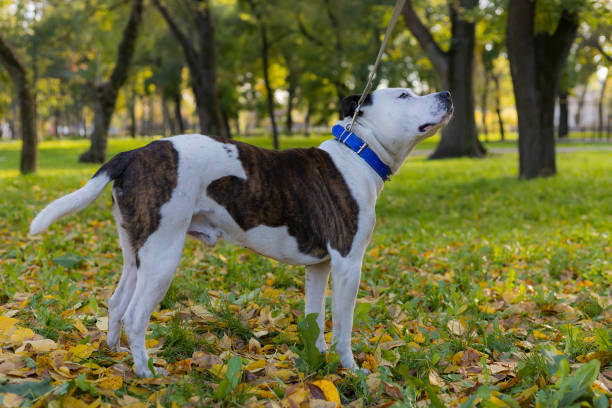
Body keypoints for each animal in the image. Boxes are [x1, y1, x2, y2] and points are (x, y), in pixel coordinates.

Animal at [31, 87, 452, 378]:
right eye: (404, 94)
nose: (447, 94)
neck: (358, 152)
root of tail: (133, 153)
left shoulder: (319, 267)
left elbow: (315, 317)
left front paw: (316, 357)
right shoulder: (349, 265)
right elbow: (343, 327)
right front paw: (349, 369)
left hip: (137, 252)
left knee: (118, 303)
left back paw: (117, 357)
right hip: (163, 257)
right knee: (136, 316)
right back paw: (147, 373)